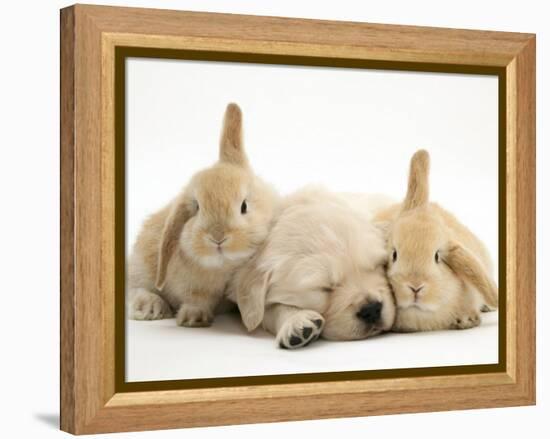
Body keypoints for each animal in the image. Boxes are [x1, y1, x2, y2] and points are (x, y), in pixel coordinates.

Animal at [129, 104, 280, 326]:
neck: (224, 268)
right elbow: (198, 299)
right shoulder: (194, 287)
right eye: (197, 207)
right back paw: (150, 307)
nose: (217, 237)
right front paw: (194, 318)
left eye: (244, 206)